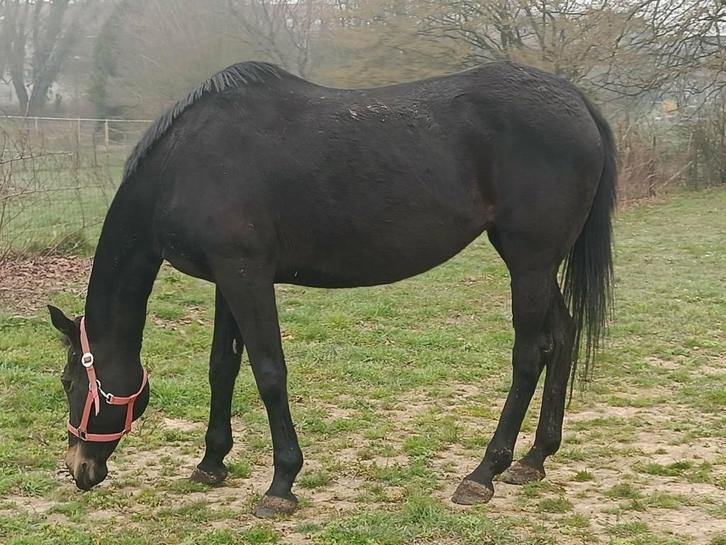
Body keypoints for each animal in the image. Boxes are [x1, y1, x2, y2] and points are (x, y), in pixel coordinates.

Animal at [48, 60, 616, 518]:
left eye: (68, 382)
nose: (79, 467)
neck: (187, 164)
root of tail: (579, 103)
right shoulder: (227, 280)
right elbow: (222, 367)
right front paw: (211, 463)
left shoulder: (246, 276)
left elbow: (269, 372)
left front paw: (281, 484)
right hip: (537, 265)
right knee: (562, 337)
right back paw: (533, 460)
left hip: (529, 262)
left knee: (529, 354)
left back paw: (483, 474)